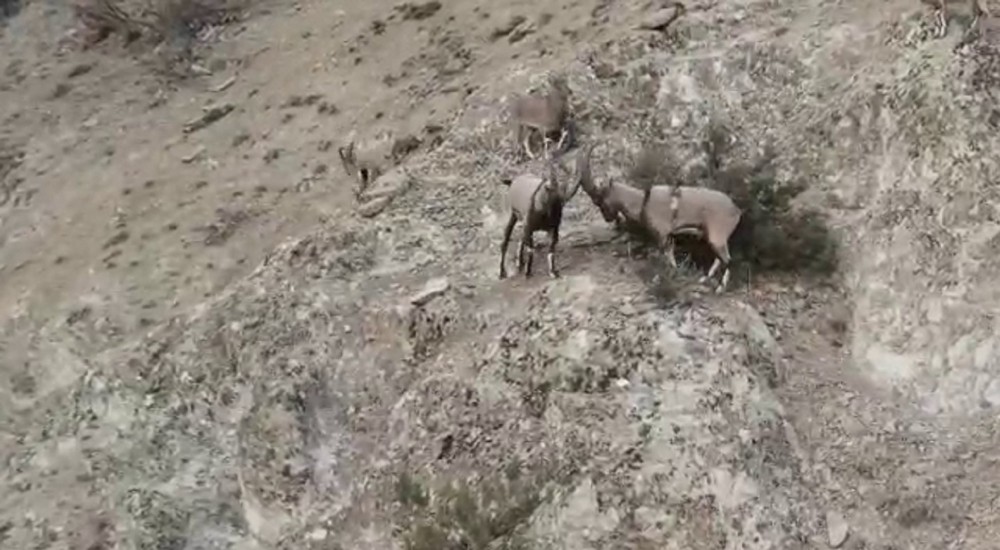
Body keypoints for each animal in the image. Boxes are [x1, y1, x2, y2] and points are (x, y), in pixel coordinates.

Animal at [498, 143, 595, 279]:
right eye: (548, 189)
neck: (544, 212)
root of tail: (512, 182)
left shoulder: (553, 229)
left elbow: (551, 250)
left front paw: (553, 272)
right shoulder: (529, 227)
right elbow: (531, 250)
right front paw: (528, 272)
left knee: (520, 240)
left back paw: (519, 263)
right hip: (512, 215)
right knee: (505, 241)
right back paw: (502, 272)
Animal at [580, 176, 741, 293]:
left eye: (600, 199)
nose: (608, 218)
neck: (643, 201)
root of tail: (736, 210)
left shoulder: (662, 235)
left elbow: (665, 259)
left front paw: (658, 280)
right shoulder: (669, 238)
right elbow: (670, 258)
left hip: (717, 237)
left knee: (727, 259)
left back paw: (720, 288)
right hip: (712, 237)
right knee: (720, 259)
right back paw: (704, 279)